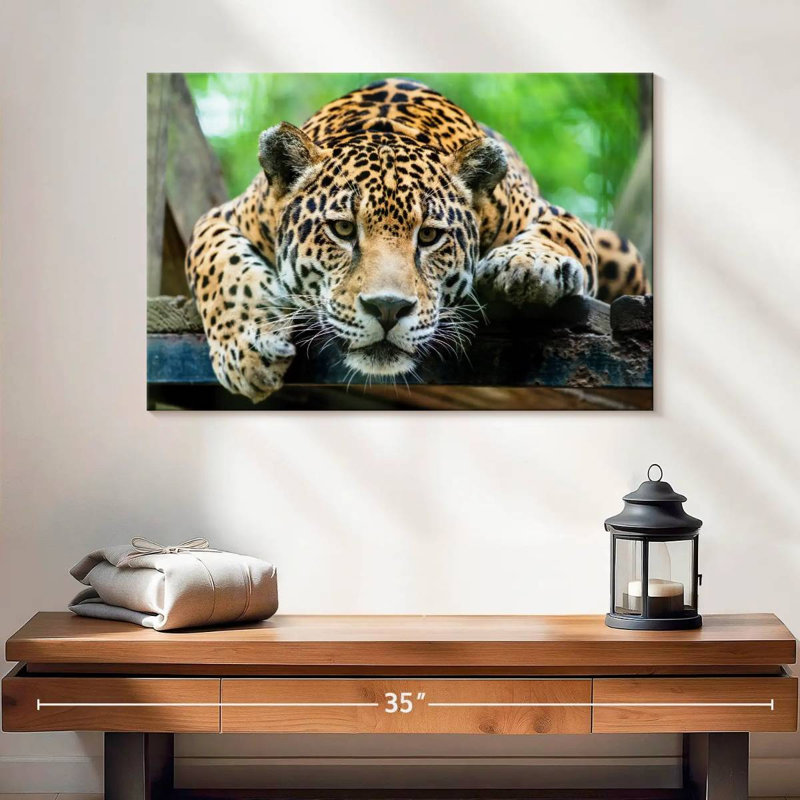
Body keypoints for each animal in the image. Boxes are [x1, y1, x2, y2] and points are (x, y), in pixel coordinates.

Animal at [186, 78, 649, 402]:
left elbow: (559, 233)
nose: (388, 309)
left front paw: (527, 265)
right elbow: (219, 267)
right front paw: (246, 352)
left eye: (428, 236)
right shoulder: (222, 217)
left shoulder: (548, 213)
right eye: (343, 230)